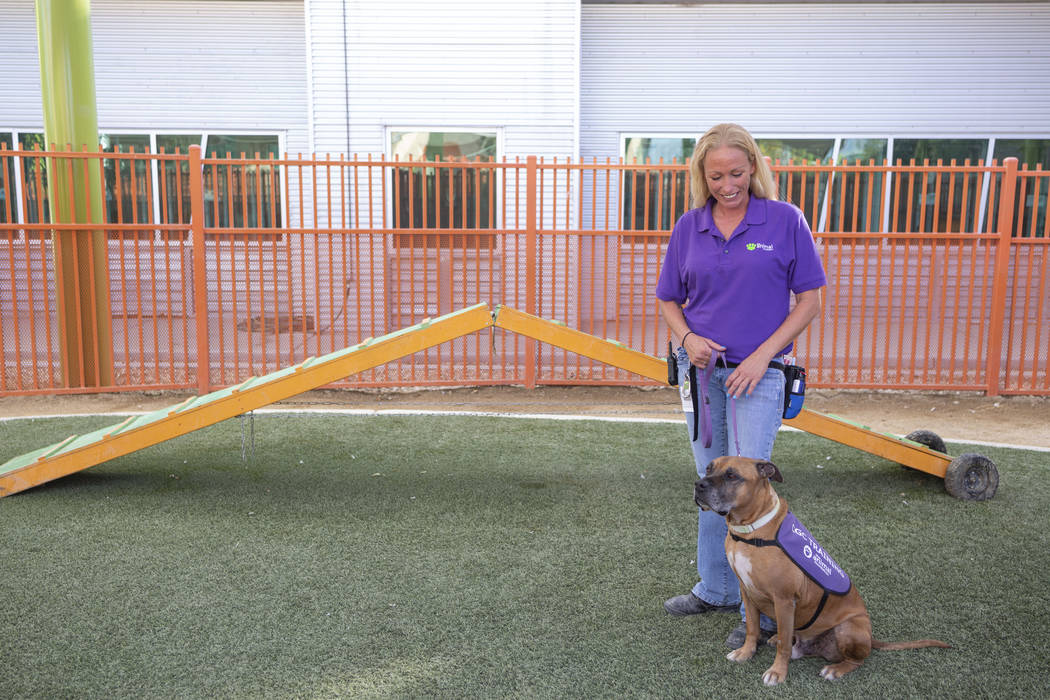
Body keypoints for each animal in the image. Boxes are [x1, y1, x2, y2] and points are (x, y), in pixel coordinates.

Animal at [692, 455, 949, 684]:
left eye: (732, 476)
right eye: (709, 468)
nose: (699, 484)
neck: (750, 531)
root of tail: (871, 638)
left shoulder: (784, 599)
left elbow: (783, 645)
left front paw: (777, 672)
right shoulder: (747, 591)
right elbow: (752, 628)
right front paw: (746, 652)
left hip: (849, 628)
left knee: (856, 660)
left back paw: (835, 669)